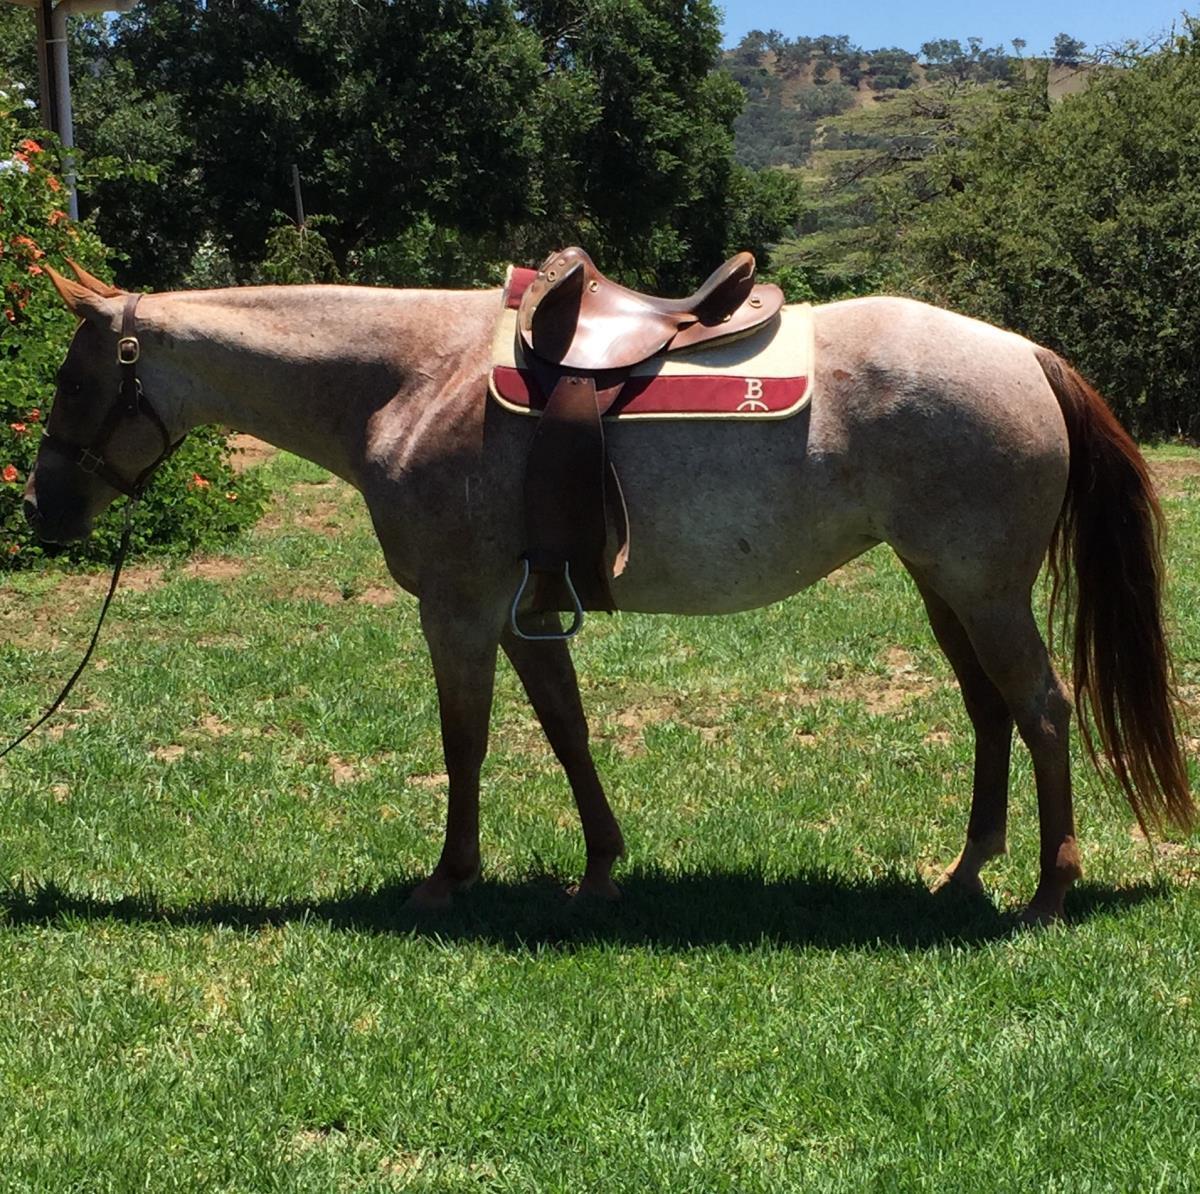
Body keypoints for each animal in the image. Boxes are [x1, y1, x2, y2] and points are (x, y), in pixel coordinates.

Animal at [23, 261, 1194, 924]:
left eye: (73, 379)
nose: (42, 512)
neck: (411, 377)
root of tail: (1027, 354)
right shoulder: (524, 611)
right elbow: (566, 732)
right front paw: (599, 871)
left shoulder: (457, 609)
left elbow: (466, 743)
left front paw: (449, 879)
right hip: (942, 583)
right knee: (991, 712)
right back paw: (964, 875)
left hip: (982, 588)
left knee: (1043, 711)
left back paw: (1048, 891)